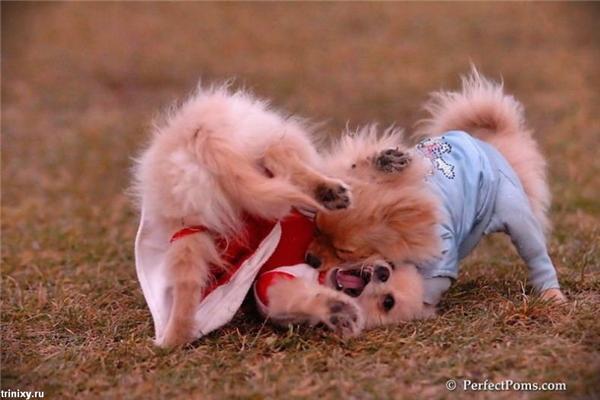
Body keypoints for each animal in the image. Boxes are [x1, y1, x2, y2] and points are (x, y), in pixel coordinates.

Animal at [135, 85, 352, 346]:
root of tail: (200, 138)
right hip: (271, 139)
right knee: (278, 156)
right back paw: (329, 193)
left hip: (188, 228)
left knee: (186, 283)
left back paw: (173, 338)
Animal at [308, 69, 564, 326]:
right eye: (317, 227)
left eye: (345, 252)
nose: (310, 259)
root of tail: (493, 147)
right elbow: (358, 164)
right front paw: (384, 160)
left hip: (517, 218)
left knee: (536, 254)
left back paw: (552, 294)